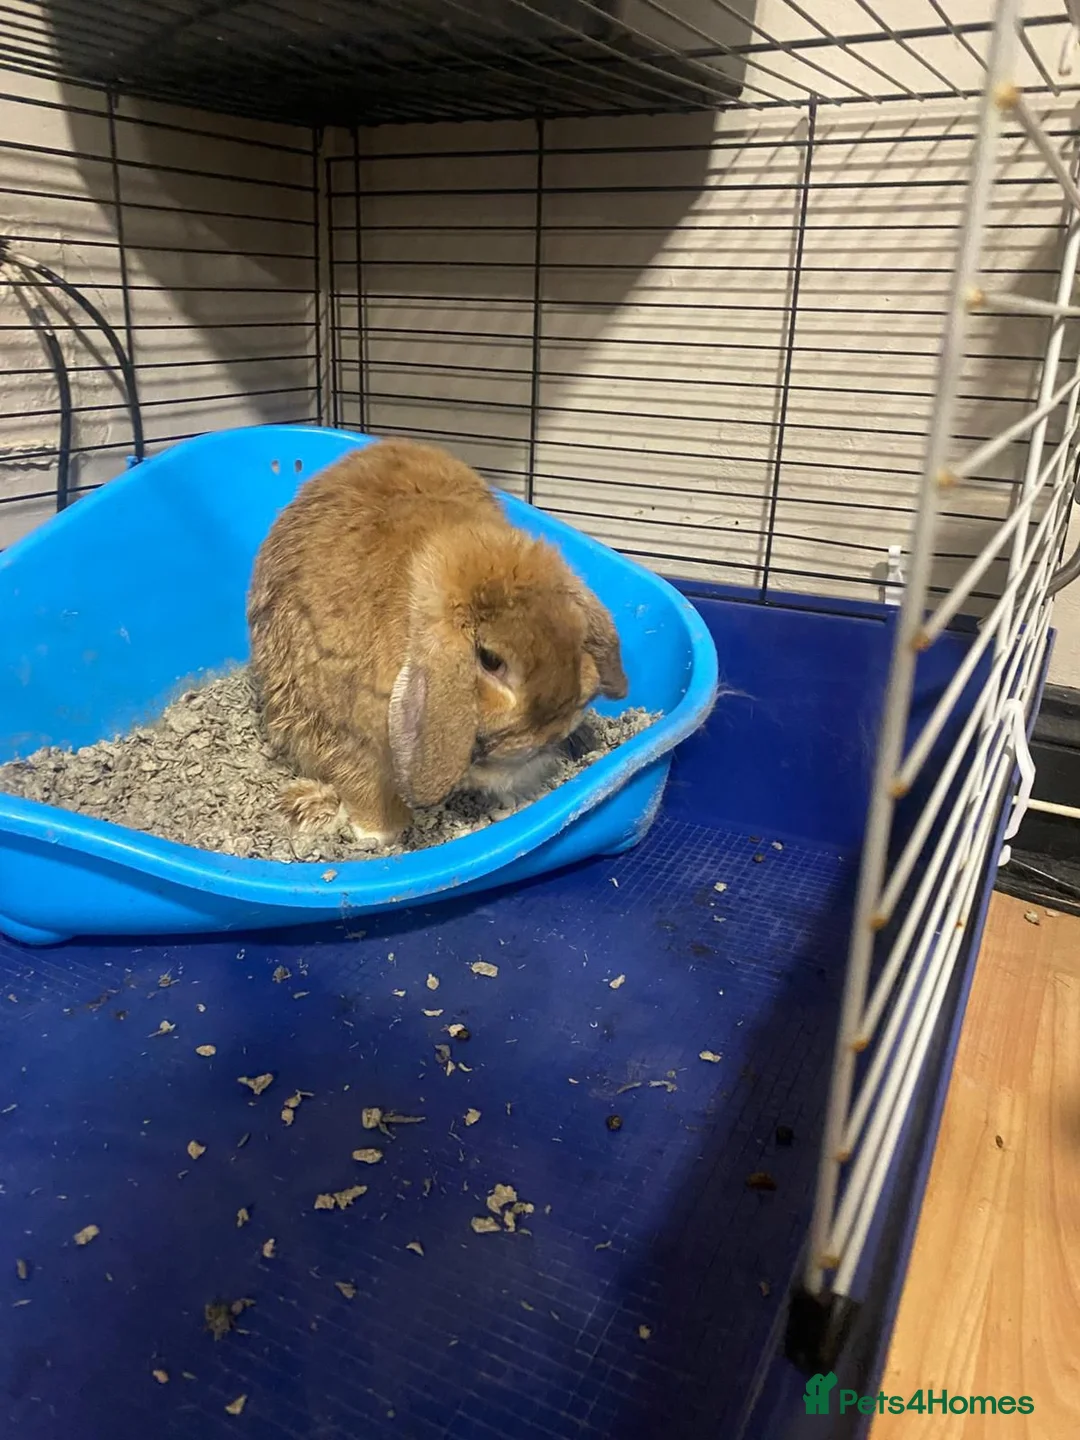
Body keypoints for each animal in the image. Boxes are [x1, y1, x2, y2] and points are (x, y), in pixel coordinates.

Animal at [247, 438, 628, 846]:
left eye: (576, 630)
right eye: (490, 660)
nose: (557, 730)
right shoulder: (350, 738)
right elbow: (364, 784)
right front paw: (378, 833)